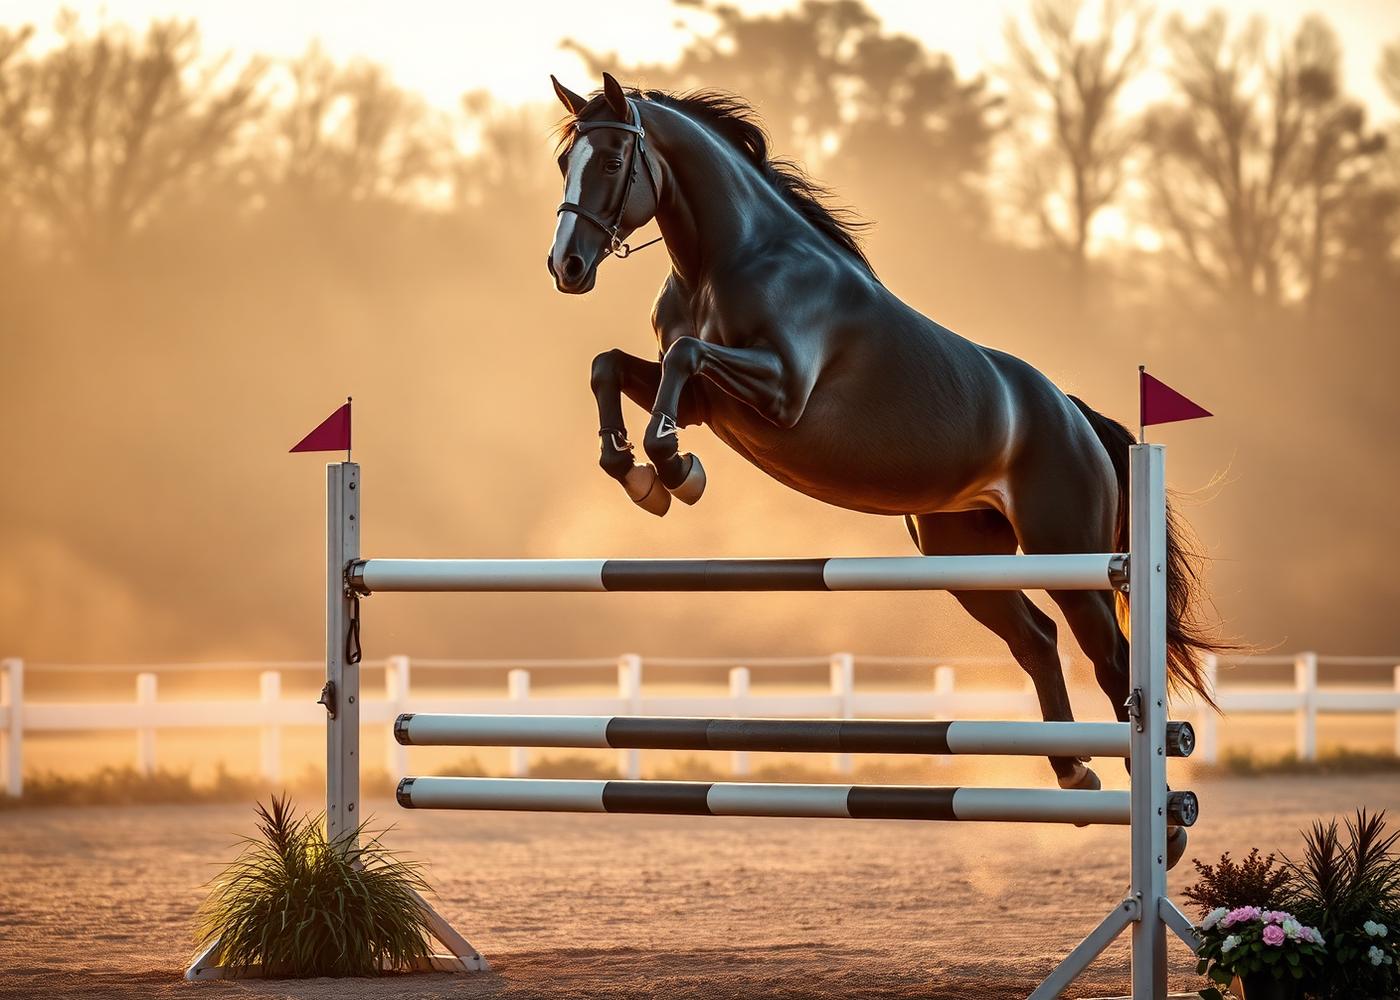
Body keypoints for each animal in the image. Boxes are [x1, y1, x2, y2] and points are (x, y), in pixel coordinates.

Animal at [546, 73, 1221, 867]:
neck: (727, 258)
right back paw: (1073, 773)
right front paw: (636, 470)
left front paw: (675, 469)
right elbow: (611, 366)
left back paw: (1163, 828)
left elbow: (681, 361)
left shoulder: (779, 393)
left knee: (1111, 661)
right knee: (1035, 639)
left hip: (1070, 557)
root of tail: (1078, 417)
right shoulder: (712, 400)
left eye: (613, 159)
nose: (566, 267)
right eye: (565, 163)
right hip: (962, 553)